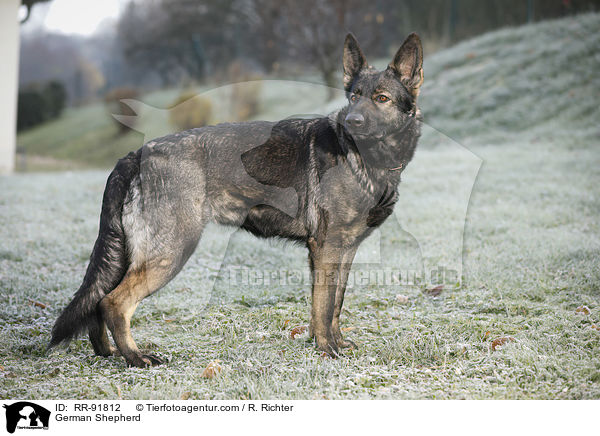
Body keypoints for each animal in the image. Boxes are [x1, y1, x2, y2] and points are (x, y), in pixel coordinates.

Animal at [51, 33, 424, 364]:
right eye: (353, 97)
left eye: (381, 98)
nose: (351, 121)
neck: (367, 159)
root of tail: (135, 154)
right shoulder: (326, 248)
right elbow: (323, 306)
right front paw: (326, 350)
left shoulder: (344, 252)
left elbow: (334, 305)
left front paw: (337, 343)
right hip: (171, 251)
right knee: (114, 302)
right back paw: (136, 358)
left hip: (133, 255)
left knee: (98, 300)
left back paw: (107, 353)